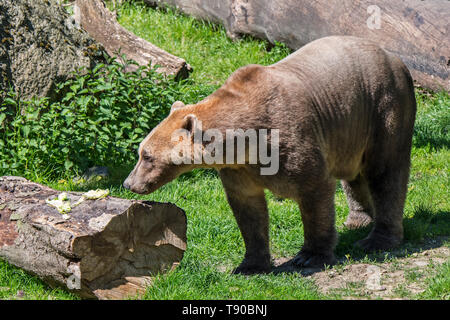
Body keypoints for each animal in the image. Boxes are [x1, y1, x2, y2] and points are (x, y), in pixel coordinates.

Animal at [122, 35, 414, 276]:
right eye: (140, 151)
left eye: (147, 156)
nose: (128, 183)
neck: (250, 142)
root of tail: (395, 57)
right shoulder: (239, 169)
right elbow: (248, 210)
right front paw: (249, 264)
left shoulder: (294, 140)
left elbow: (315, 192)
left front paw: (310, 256)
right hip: (350, 130)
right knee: (353, 175)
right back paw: (357, 219)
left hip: (382, 106)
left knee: (386, 172)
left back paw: (377, 239)